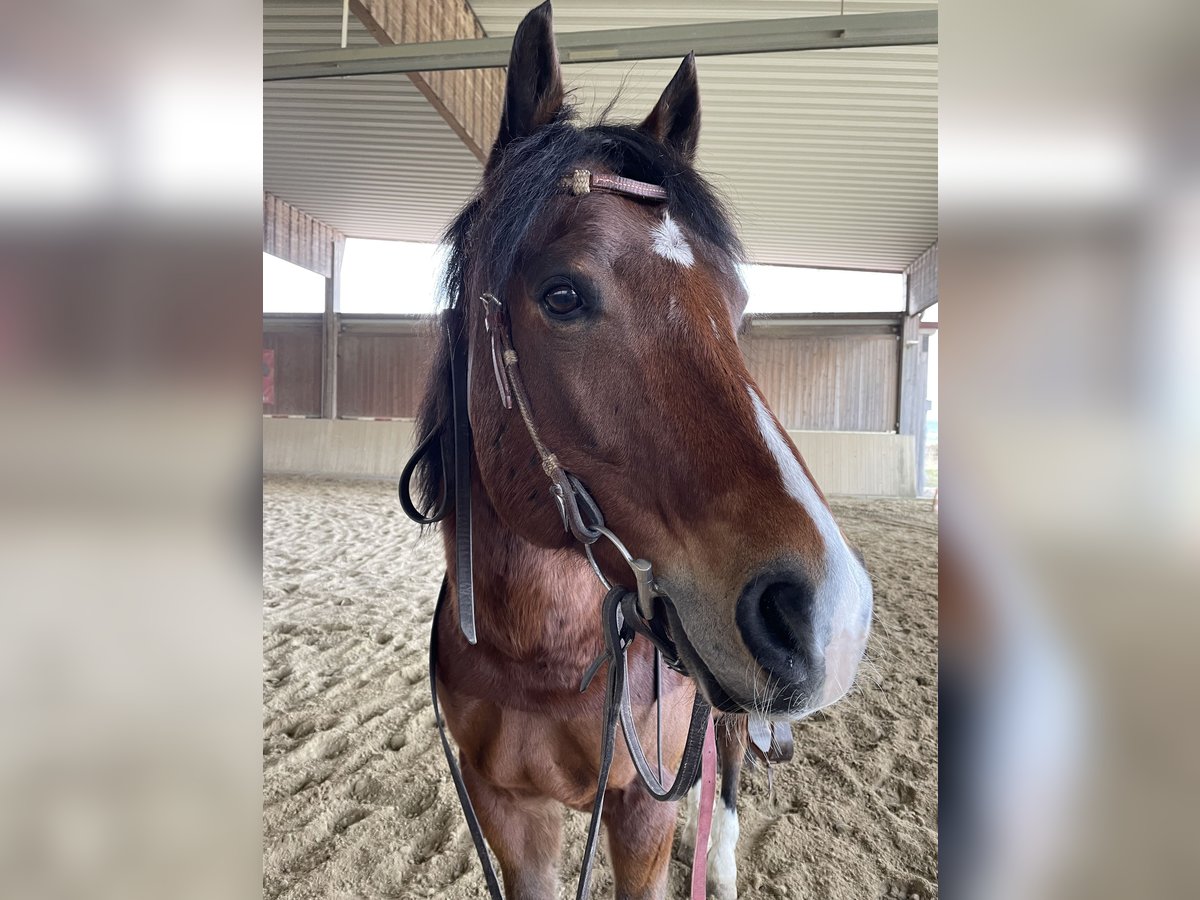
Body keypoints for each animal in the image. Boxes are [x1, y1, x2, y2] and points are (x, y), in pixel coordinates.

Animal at [405, 3, 873, 897]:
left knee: (732, 753)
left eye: (738, 304)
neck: (543, 661)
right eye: (562, 294)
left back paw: (722, 863)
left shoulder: (642, 809)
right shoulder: (506, 809)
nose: (829, 614)